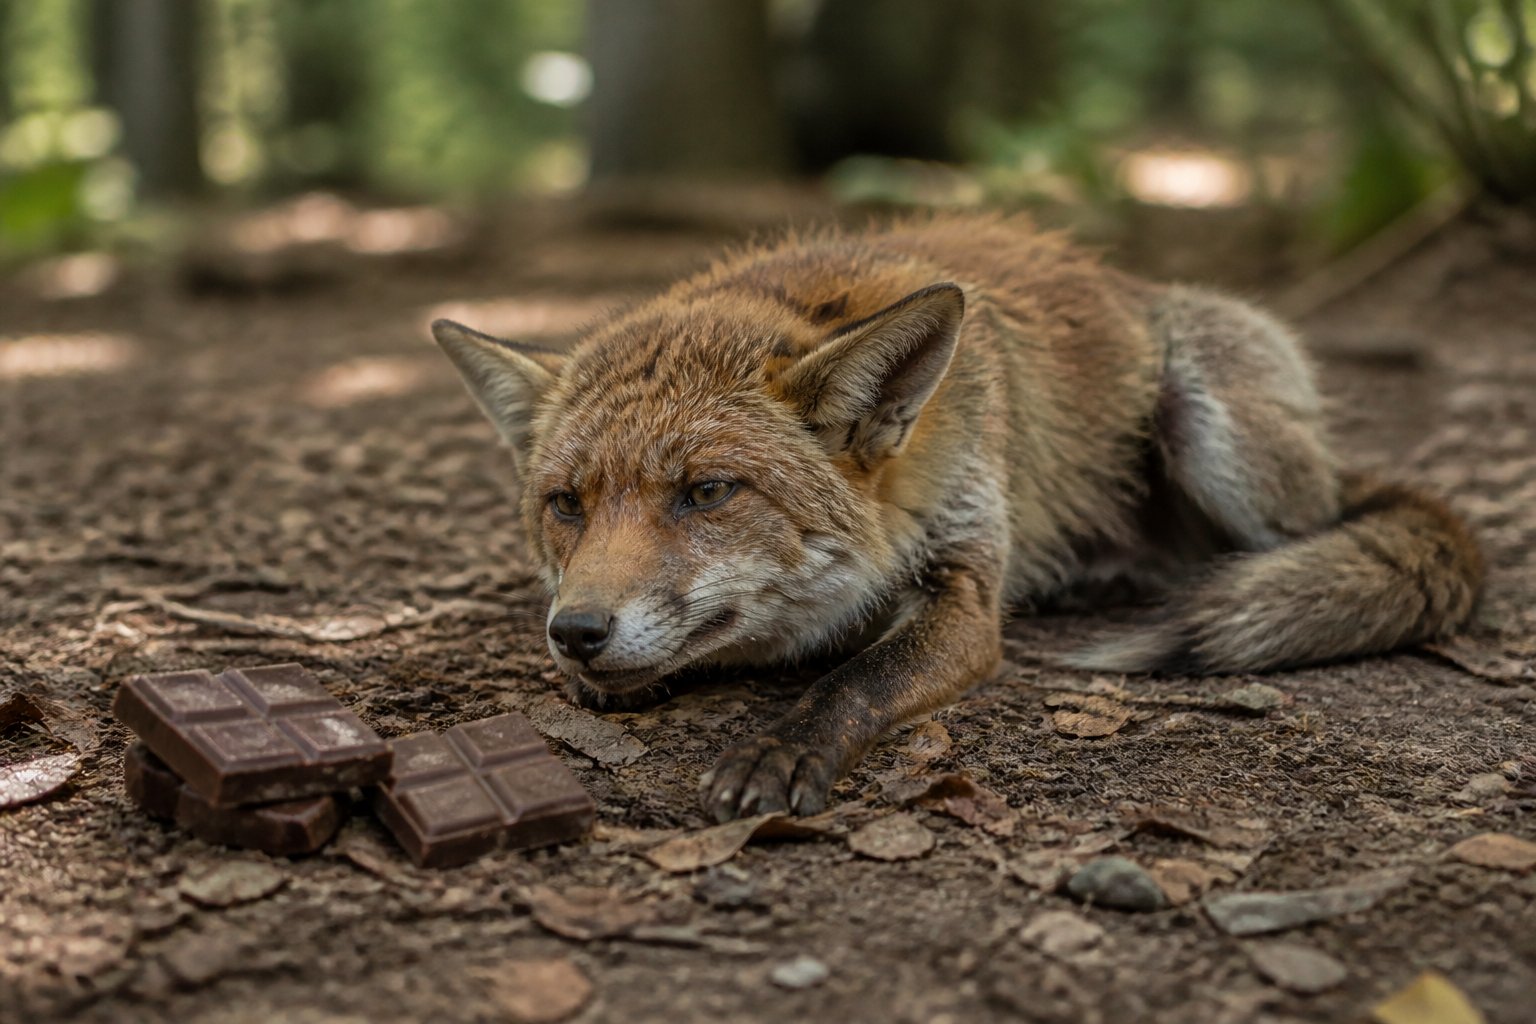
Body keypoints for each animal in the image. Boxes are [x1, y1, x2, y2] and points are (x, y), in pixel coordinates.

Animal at [430, 213, 1483, 823]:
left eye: (709, 492)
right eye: (566, 505)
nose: (577, 632)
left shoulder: (966, 590)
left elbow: (857, 679)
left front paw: (782, 747)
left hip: (1224, 444)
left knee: (1304, 537)